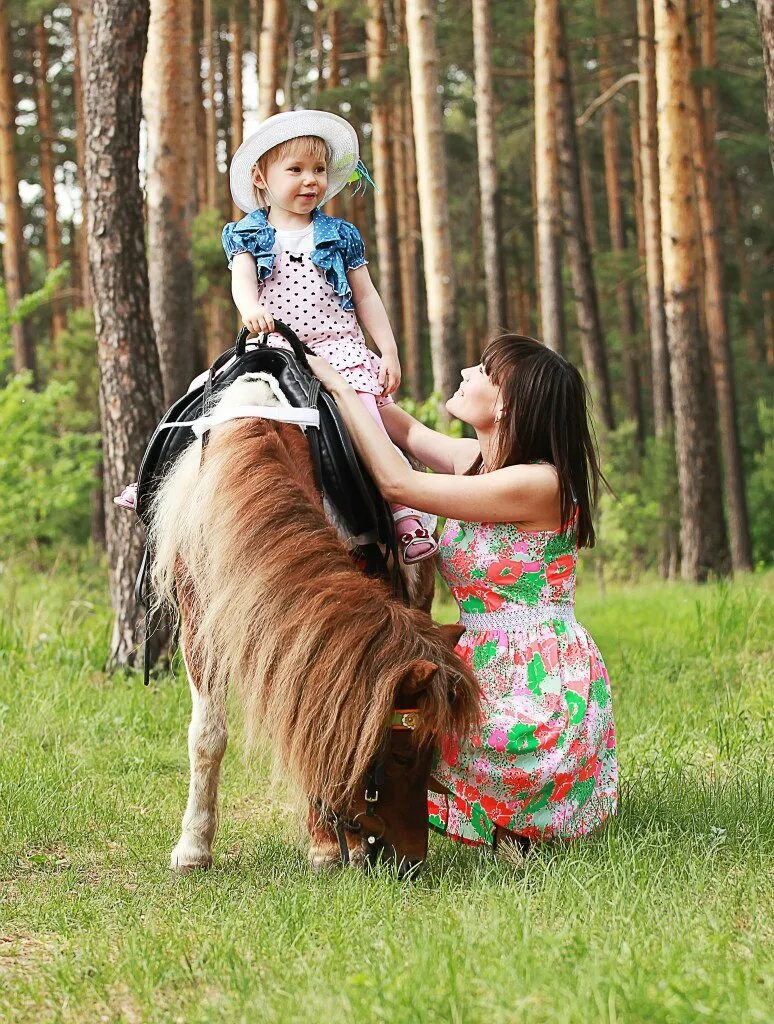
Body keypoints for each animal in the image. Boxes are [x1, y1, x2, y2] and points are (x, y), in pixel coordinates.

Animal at [146, 376, 477, 872]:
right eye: (402, 754)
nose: (409, 859)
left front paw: (326, 844)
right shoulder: (200, 620)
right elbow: (208, 735)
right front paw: (194, 848)